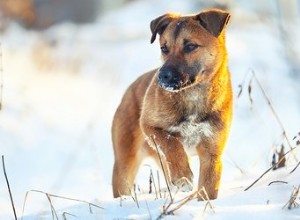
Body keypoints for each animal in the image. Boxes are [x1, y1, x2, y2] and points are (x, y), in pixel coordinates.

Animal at [112, 9, 232, 199]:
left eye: (190, 46)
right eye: (164, 48)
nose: (162, 76)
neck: (193, 96)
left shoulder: (212, 154)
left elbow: (207, 189)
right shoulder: (150, 126)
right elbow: (171, 142)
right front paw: (183, 176)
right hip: (124, 165)